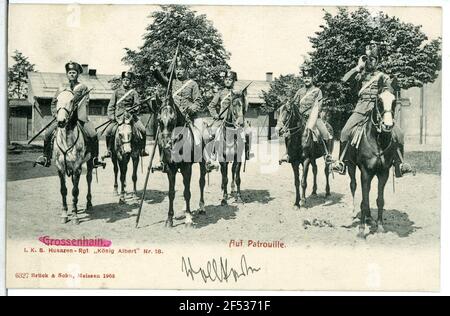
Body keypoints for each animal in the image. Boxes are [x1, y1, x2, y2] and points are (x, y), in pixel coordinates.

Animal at [54, 90, 93, 226]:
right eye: (57, 100)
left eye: (72, 100)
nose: (61, 121)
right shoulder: (60, 168)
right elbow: (63, 190)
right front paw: (65, 214)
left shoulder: (77, 168)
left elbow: (75, 191)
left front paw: (75, 216)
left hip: (90, 162)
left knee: (89, 179)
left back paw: (89, 203)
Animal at [344, 90, 398, 238]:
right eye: (379, 101)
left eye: (394, 101)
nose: (387, 125)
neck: (378, 141)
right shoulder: (365, 172)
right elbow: (363, 201)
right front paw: (362, 230)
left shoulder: (383, 173)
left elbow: (379, 200)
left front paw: (380, 226)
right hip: (351, 166)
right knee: (353, 185)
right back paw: (352, 213)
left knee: (366, 193)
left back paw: (369, 218)